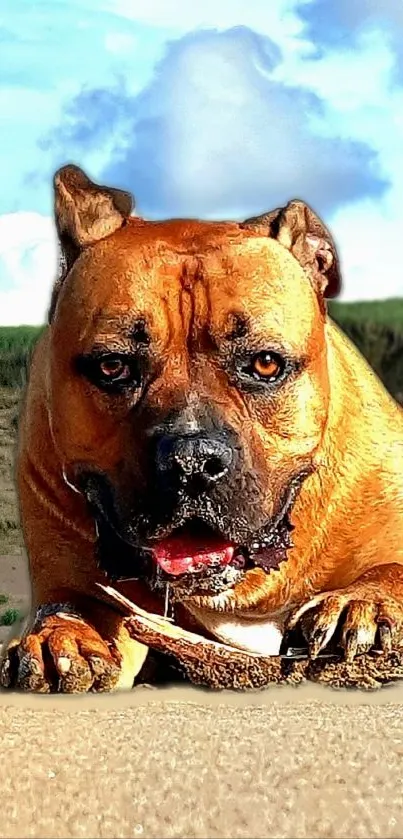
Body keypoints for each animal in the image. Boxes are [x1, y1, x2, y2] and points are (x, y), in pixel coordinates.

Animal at [0, 166, 403, 696]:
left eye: (266, 363)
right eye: (112, 366)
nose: (193, 460)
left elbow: (392, 566)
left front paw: (364, 601)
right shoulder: (78, 579)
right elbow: (77, 605)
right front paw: (62, 637)